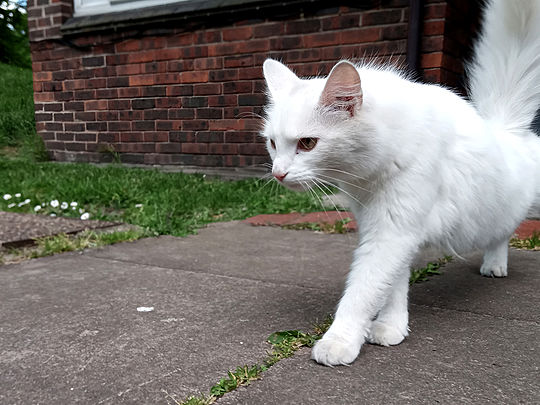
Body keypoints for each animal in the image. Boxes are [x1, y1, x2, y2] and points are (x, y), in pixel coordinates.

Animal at [262, 0, 540, 366]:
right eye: (272, 143)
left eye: (307, 143)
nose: (278, 173)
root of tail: (505, 127)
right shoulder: (387, 228)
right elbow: (392, 285)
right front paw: (391, 326)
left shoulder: (392, 231)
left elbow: (363, 290)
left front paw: (340, 340)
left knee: (503, 233)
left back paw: (495, 264)